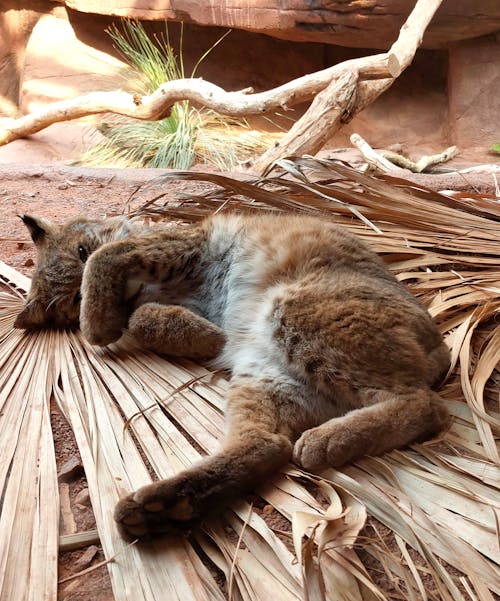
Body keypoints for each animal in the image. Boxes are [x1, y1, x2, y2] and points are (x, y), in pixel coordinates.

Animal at [15, 212, 450, 540]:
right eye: (71, 299)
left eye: (81, 251)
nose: (90, 302)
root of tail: (441, 343)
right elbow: (140, 316)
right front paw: (198, 337)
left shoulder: (182, 244)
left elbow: (111, 254)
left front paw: (98, 325)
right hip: (265, 374)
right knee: (268, 443)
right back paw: (166, 506)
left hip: (292, 306)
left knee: (430, 404)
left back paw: (325, 441)